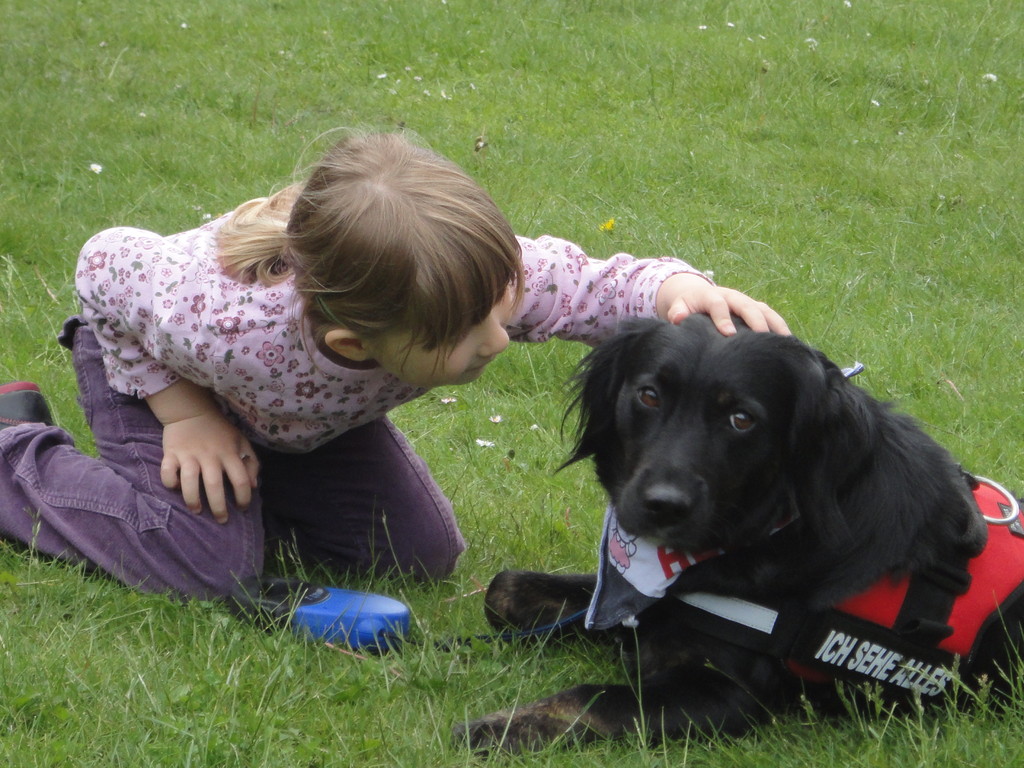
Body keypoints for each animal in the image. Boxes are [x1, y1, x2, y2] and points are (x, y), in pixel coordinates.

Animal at [456, 315, 1024, 753]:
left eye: (742, 419)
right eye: (649, 395)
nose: (662, 505)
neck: (766, 525)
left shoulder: (728, 694)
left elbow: (594, 697)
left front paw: (496, 728)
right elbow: (503, 589)